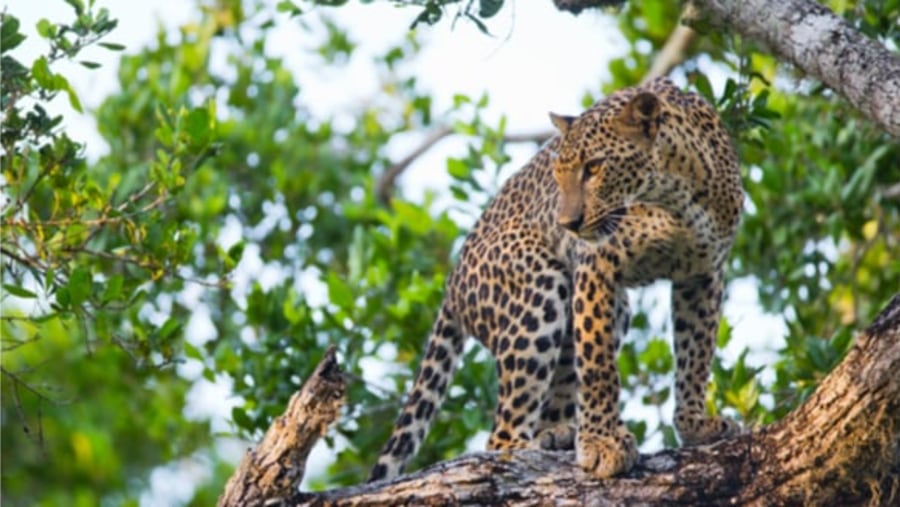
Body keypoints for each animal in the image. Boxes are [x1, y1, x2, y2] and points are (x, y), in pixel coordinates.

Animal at [370, 77, 740, 482]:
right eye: (558, 175)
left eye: (594, 167)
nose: (568, 225)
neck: (676, 198)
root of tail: (452, 283)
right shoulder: (596, 263)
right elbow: (597, 367)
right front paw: (603, 443)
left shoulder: (703, 274)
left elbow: (695, 356)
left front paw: (694, 425)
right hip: (539, 289)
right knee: (500, 435)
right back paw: (528, 447)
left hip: (612, 309)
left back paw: (558, 434)